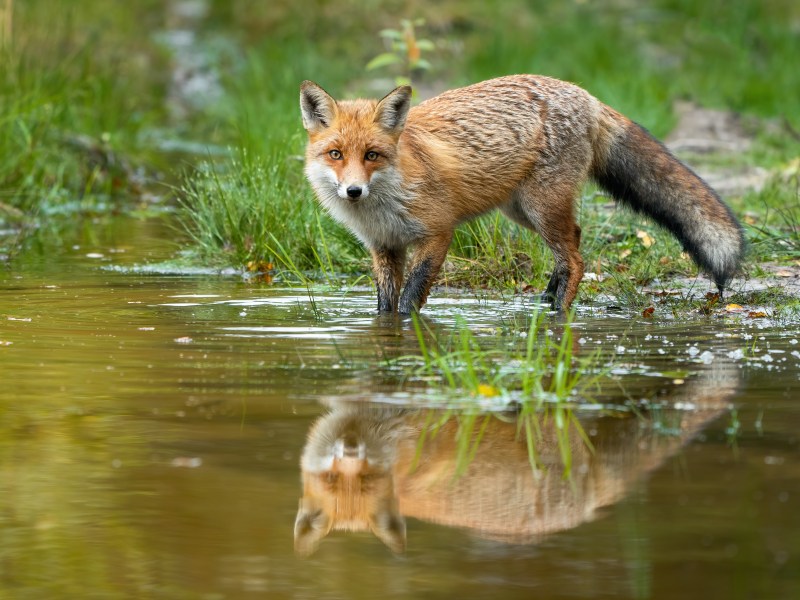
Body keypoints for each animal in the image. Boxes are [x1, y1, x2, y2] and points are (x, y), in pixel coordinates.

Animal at [298, 75, 744, 314]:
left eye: (372, 155)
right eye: (336, 154)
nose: (353, 190)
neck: (383, 206)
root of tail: (586, 94)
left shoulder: (438, 234)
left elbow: (410, 300)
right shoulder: (385, 248)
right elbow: (384, 307)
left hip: (542, 207)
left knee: (576, 259)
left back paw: (559, 313)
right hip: (523, 211)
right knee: (573, 242)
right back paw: (547, 298)